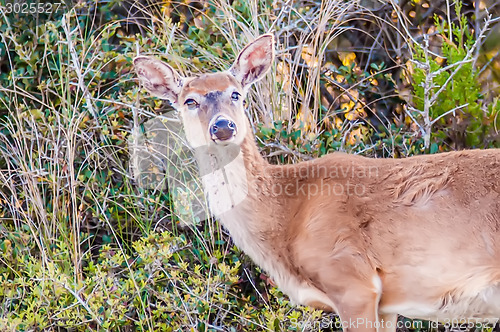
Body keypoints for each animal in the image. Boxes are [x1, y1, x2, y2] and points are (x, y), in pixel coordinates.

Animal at [133, 34, 500, 332]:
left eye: (236, 94)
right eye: (189, 101)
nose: (223, 126)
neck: (286, 214)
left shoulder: (351, 279)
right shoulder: (386, 306)